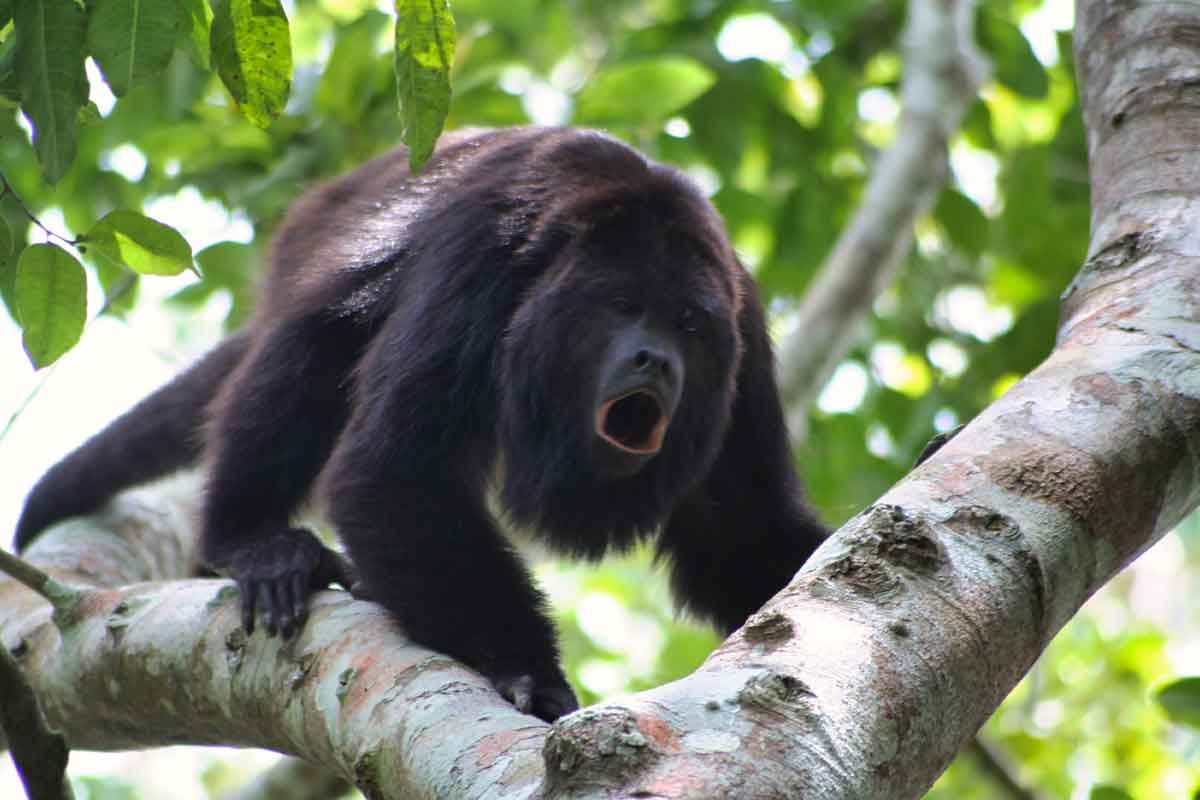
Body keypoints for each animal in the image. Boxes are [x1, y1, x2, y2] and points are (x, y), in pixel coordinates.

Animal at [15, 126, 827, 721]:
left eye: (687, 323)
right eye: (624, 306)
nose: (655, 360)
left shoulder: (743, 330)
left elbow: (738, 530)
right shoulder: (487, 260)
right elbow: (394, 472)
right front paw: (526, 670)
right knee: (316, 342)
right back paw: (255, 543)